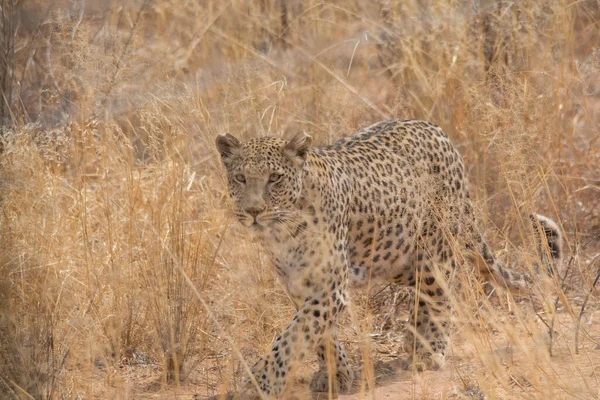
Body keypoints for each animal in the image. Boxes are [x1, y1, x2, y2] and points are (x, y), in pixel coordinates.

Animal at [216, 118, 564, 396]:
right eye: (241, 178)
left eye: (274, 178)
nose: (253, 211)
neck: (282, 230)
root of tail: (439, 132)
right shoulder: (302, 285)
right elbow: (317, 333)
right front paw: (336, 375)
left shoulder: (328, 287)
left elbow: (290, 340)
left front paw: (258, 383)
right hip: (396, 258)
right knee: (423, 294)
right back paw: (412, 341)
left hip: (434, 248)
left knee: (440, 294)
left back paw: (428, 352)